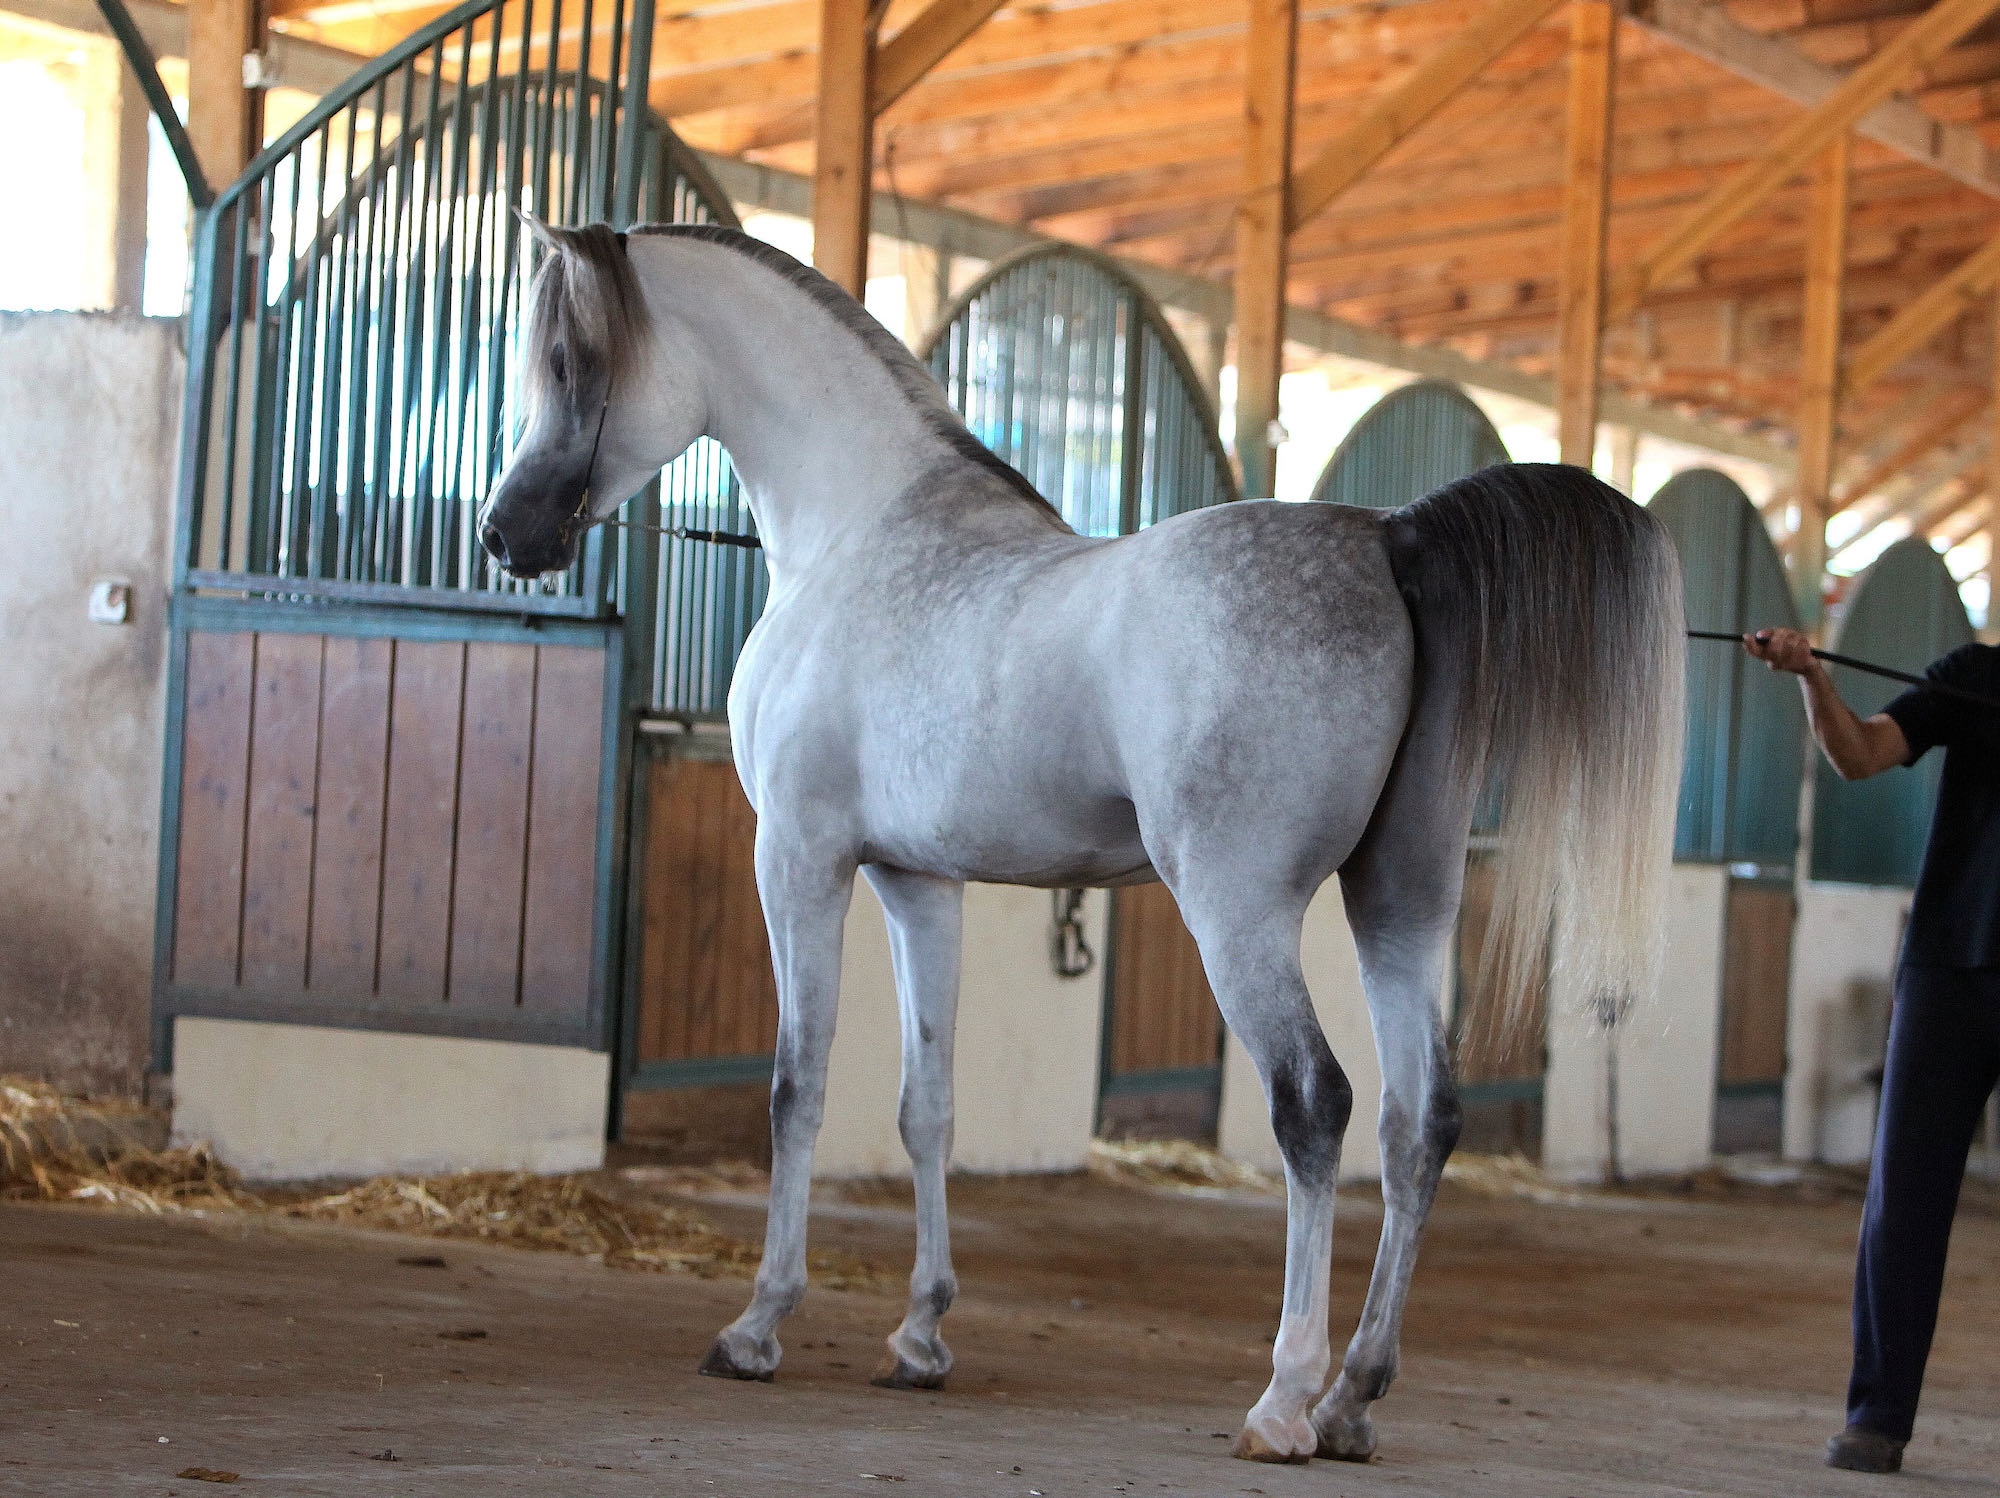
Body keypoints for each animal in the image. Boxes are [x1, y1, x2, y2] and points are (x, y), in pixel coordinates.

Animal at [480, 216, 1685, 1464]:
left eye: (566, 358)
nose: (505, 534)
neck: (859, 533)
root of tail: (1388, 541)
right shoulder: (918, 883)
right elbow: (925, 1103)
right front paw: (920, 1337)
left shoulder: (800, 860)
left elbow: (793, 1086)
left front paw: (757, 1324)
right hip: (1396, 904)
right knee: (1419, 1121)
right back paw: (1351, 1396)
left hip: (1238, 911)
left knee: (1314, 1103)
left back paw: (1282, 1400)